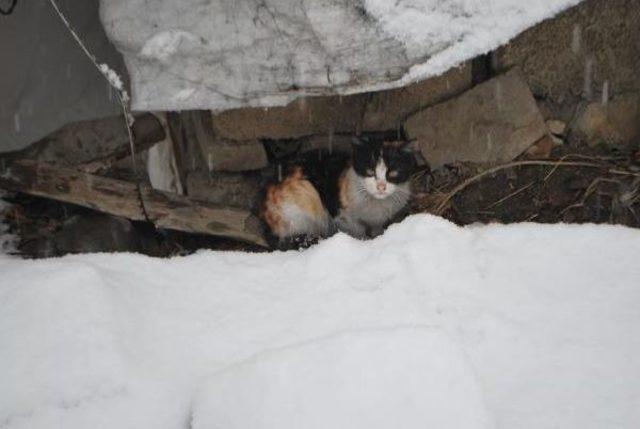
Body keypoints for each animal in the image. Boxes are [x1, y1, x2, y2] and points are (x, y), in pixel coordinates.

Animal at [262, 135, 418, 246]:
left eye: (393, 173)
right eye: (370, 171)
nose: (381, 186)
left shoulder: (379, 221)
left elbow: (377, 230)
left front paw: (378, 237)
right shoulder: (340, 214)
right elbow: (356, 229)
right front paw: (363, 242)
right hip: (305, 199)